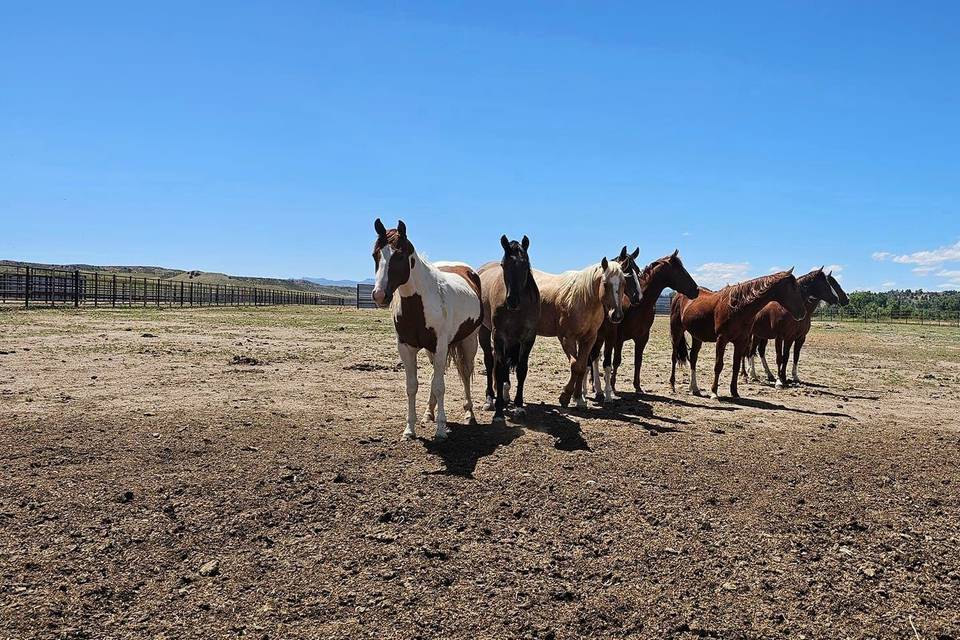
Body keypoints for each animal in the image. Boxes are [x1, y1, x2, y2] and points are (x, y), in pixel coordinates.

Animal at [372, 220, 484, 440]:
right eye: (375, 255)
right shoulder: (406, 348)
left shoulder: (441, 347)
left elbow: (440, 386)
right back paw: (428, 413)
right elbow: (412, 386)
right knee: (435, 375)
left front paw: (441, 429)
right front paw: (409, 430)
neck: (420, 303)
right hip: (432, 351)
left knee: (465, 374)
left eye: (399, 255)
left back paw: (469, 413)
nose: (379, 295)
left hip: (469, 341)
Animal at [536, 258, 628, 408]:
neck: (583, 300)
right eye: (605, 284)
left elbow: (582, 367)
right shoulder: (567, 338)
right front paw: (565, 396)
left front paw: (579, 398)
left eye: (623, 283)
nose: (617, 315)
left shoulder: (589, 339)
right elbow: (575, 365)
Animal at [592, 250, 696, 400]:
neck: (639, 306)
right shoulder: (619, 338)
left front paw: (637, 386)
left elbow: (638, 361)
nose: (696, 289)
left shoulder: (642, 338)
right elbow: (616, 361)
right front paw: (612, 386)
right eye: (680, 271)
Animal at [668, 270, 808, 400]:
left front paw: (734, 392)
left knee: (693, 358)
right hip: (677, 331)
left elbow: (736, 366)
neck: (737, 307)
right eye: (793, 288)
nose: (802, 312)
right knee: (674, 357)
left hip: (697, 337)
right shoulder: (722, 339)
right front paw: (714, 393)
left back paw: (694, 388)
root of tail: (678, 295)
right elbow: (718, 366)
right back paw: (672, 385)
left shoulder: (741, 341)